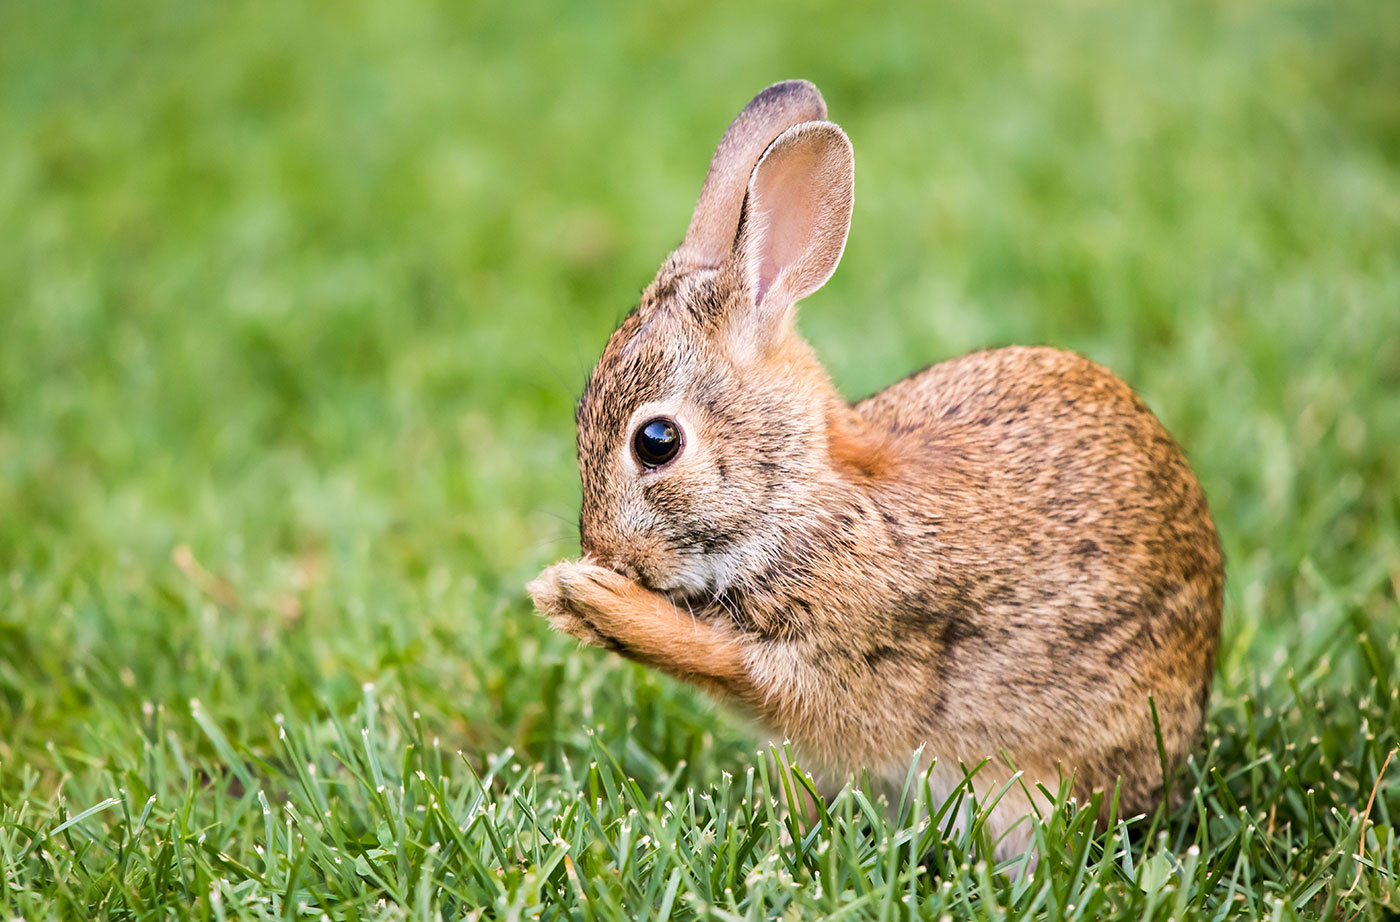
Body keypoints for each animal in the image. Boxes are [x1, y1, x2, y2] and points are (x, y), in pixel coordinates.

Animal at [529, 81, 1220, 867]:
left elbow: (725, 661)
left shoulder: (850, 646)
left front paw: (582, 595)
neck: (799, 492)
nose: (606, 553)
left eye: (656, 441)